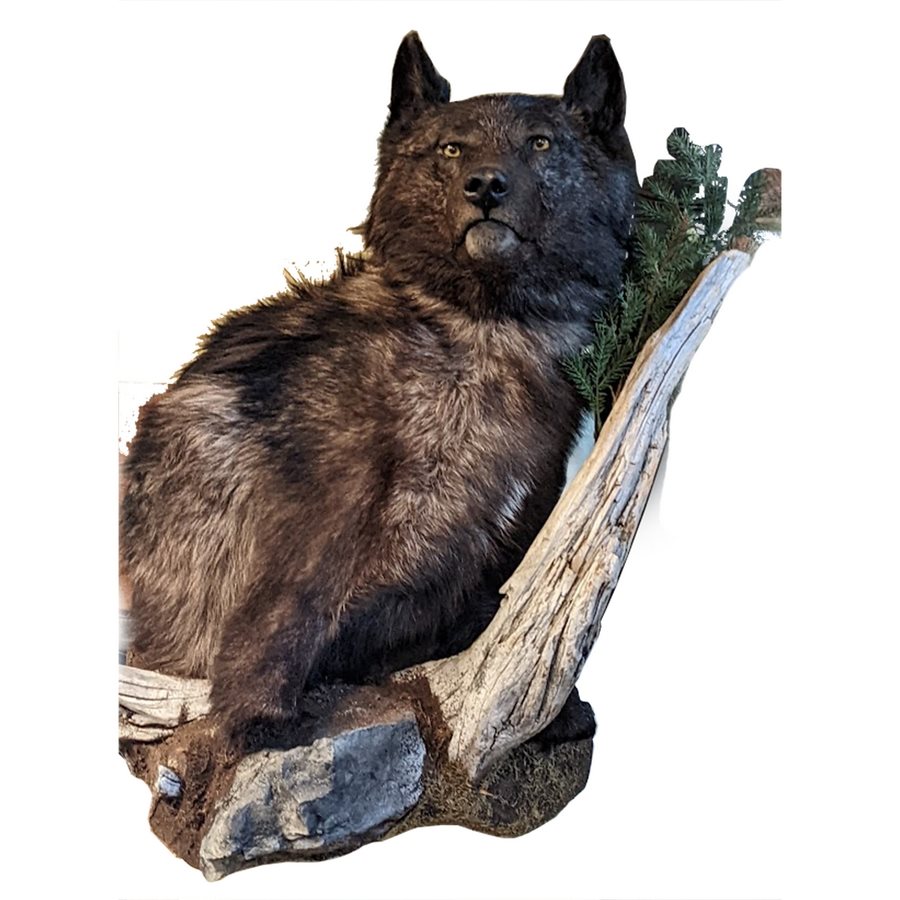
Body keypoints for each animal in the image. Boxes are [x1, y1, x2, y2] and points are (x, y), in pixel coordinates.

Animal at [120, 31, 637, 748]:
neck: (480, 328)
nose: (486, 185)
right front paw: (258, 718)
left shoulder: (521, 519)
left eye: (540, 143)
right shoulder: (329, 488)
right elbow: (290, 606)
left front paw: (550, 716)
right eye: (450, 149)